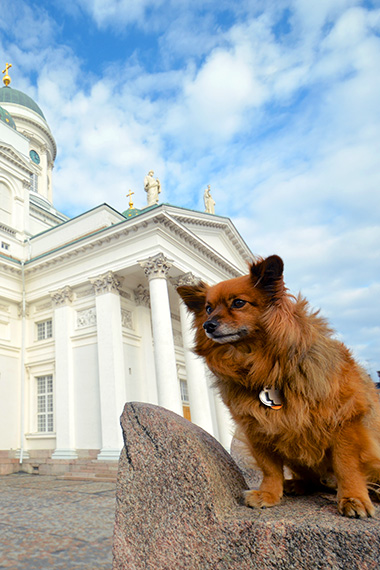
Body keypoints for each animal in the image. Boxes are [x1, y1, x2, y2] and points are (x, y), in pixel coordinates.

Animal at [177, 255, 380, 516]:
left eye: (239, 303)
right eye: (208, 308)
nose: (208, 325)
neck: (265, 366)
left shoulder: (345, 420)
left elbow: (346, 464)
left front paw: (353, 497)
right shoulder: (257, 428)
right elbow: (269, 467)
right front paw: (269, 494)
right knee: (311, 479)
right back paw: (297, 484)